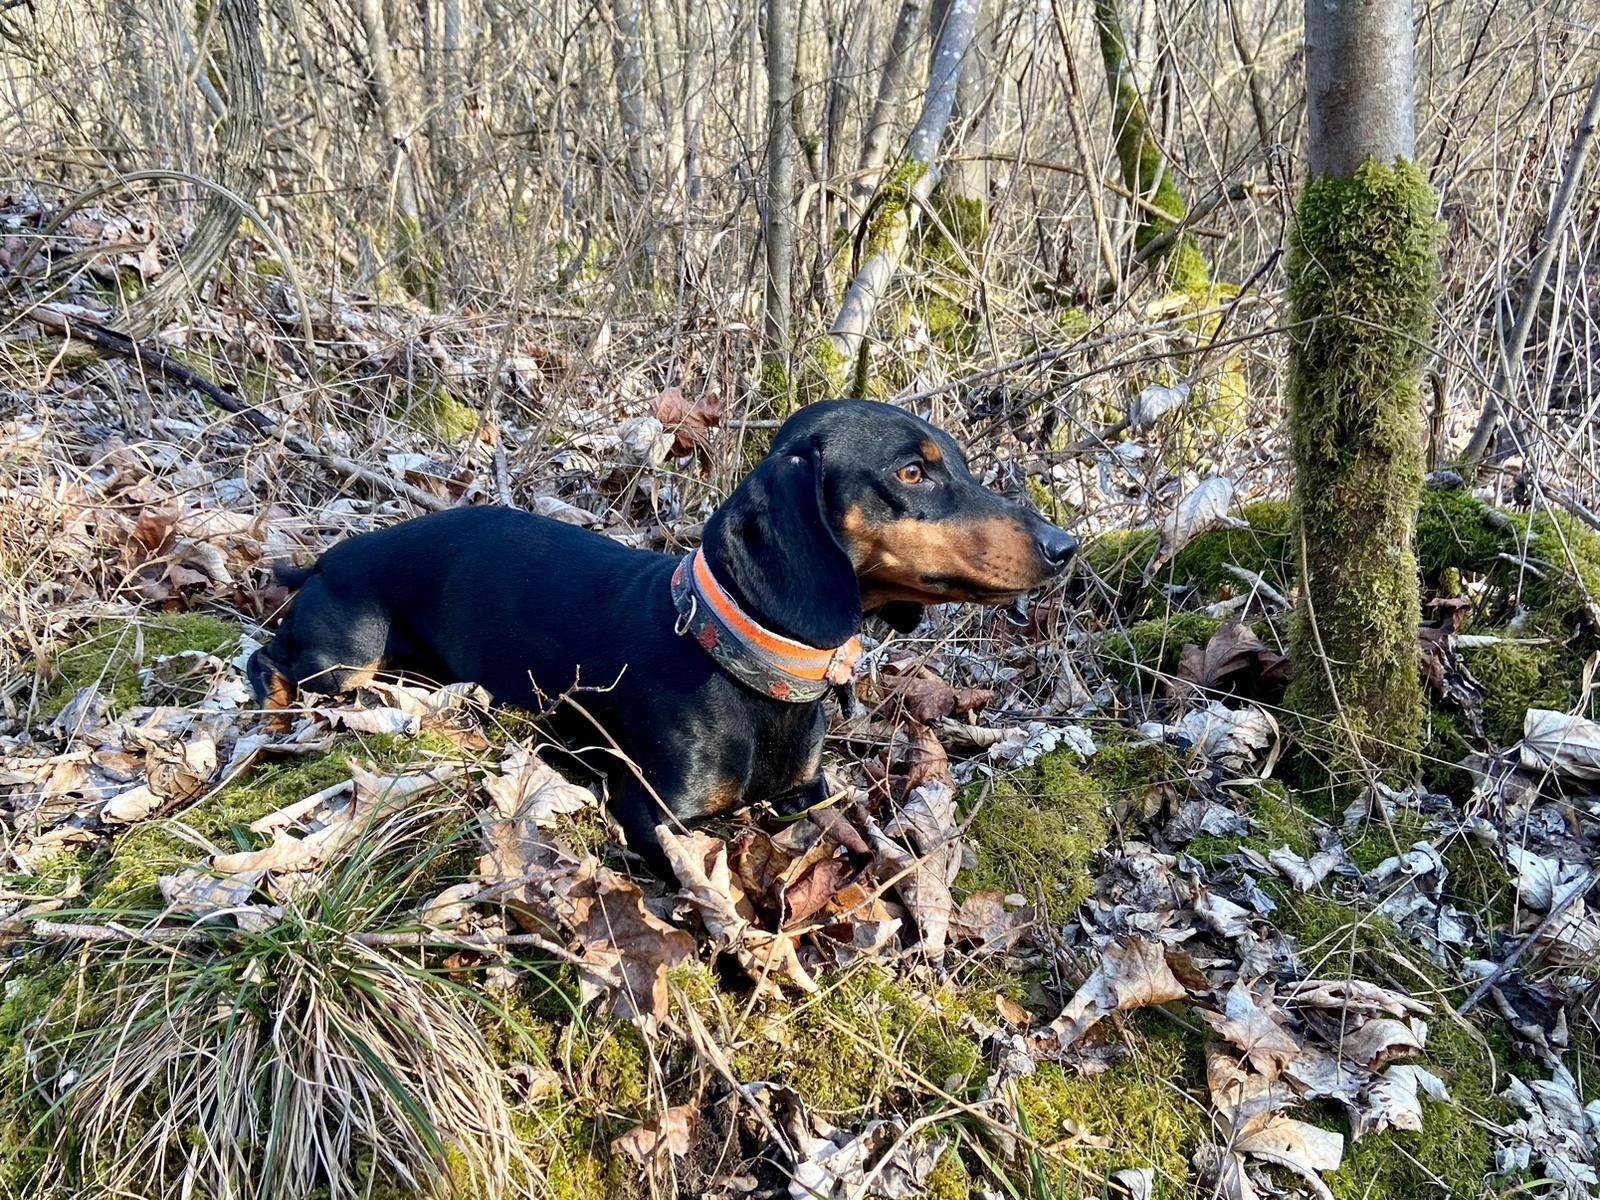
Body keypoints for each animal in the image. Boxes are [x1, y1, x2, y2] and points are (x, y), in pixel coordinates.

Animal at [247, 400, 1077, 876]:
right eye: (910, 472)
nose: (1064, 545)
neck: (742, 662)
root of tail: (328, 556)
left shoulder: (809, 793)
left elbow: (853, 834)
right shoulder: (652, 816)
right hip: (346, 661)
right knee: (270, 659)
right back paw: (276, 718)